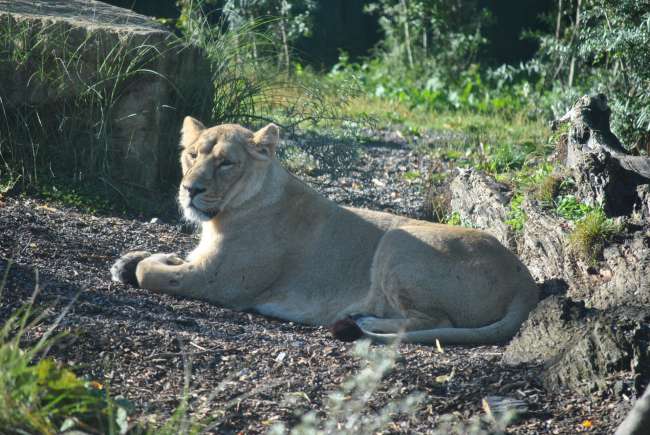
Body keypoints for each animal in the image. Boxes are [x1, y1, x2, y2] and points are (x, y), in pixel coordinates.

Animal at [111, 117, 536, 346]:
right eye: (192, 154)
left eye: (226, 163)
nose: (190, 189)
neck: (226, 212)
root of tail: (525, 280)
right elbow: (155, 257)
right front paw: (129, 261)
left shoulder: (219, 282)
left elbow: (152, 274)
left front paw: (144, 264)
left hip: (399, 240)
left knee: (436, 322)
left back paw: (362, 323)